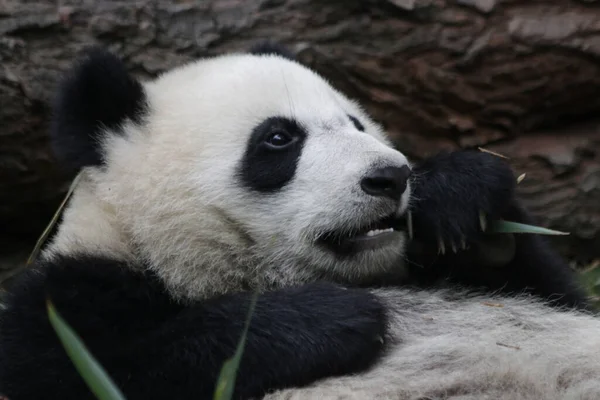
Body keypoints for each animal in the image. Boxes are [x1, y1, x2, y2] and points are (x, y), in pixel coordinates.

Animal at [1, 43, 600, 400]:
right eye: (279, 138)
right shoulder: (73, 295)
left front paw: (459, 198)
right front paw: (334, 318)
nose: (391, 176)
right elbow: (99, 368)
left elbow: (552, 290)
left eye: (356, 123)